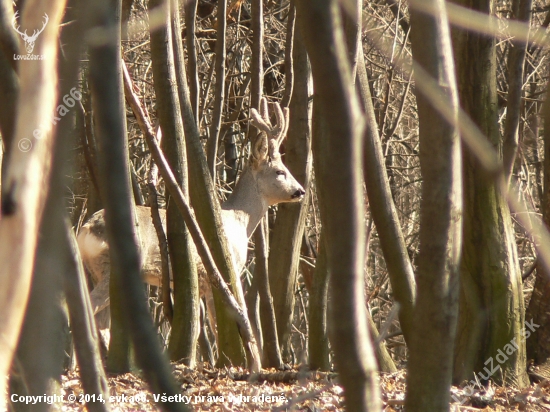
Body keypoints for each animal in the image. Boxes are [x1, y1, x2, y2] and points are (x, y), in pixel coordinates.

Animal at [77, 99, 306, 326]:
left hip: (95, 270)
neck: (238, 220)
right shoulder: (226, 273)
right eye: (280, 172)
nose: (300, 191)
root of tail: (87, 227)